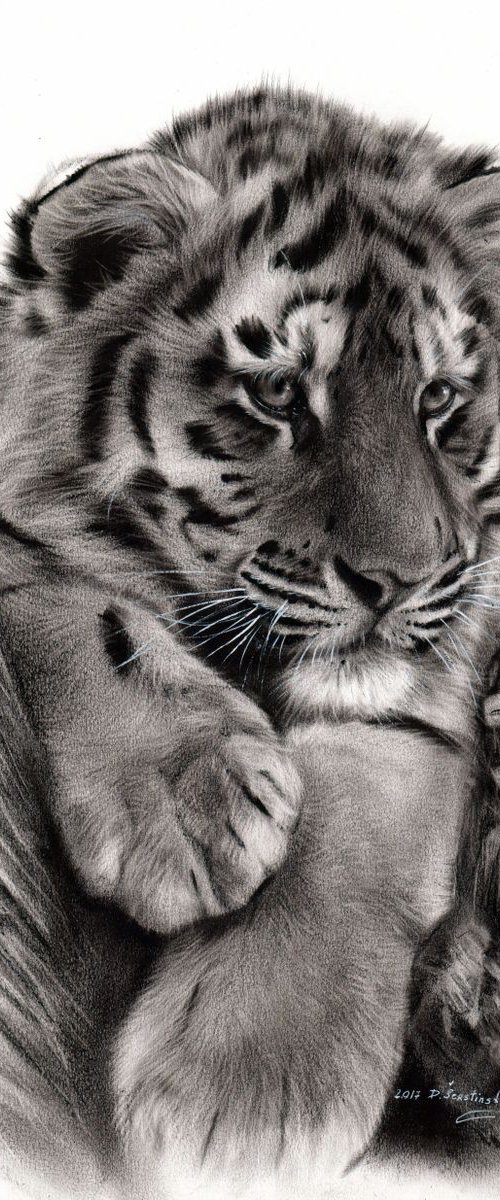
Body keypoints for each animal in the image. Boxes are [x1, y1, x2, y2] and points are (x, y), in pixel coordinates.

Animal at [1, 84, 500, 1198]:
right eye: (275, 394)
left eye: (439, 399)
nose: (398, 580)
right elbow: (53, 583)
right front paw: (183, 801)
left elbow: (373, 770)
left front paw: (244, 1093)